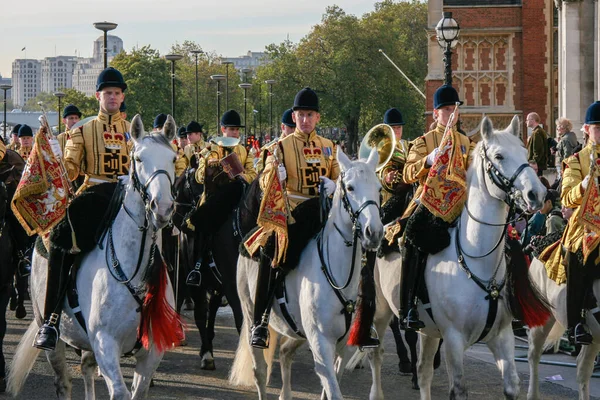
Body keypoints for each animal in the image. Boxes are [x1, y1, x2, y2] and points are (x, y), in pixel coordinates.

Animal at [8, 114, 178, 398]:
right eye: (139, 158)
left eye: (174, 158)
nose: (162, 207)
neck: (133, 270)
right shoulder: (105, 344)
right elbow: (119, 393)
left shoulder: (150, 353)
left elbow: (138, 391)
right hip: (54, 336)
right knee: (63, 383)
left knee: (87, 369)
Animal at [230, 148, 384, 398]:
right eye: (350, 187)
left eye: (379, 188)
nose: (375, 232)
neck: (338, 274)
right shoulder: (320, 342)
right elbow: (332, 390)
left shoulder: (340, 346)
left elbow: (330, 388)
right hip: (250, 311)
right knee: (259, 371)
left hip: (298, 331)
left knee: (285, 352)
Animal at [368, 114, 548, 398]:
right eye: (499, 156)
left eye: (523, 151)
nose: (537, 194)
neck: (477, 260)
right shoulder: (453, 338)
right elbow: (459, 389)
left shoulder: (502, 336)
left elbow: (511, 385)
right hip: (382, 309)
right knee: (378, 353)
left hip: (429, 331)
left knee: (424, 372)